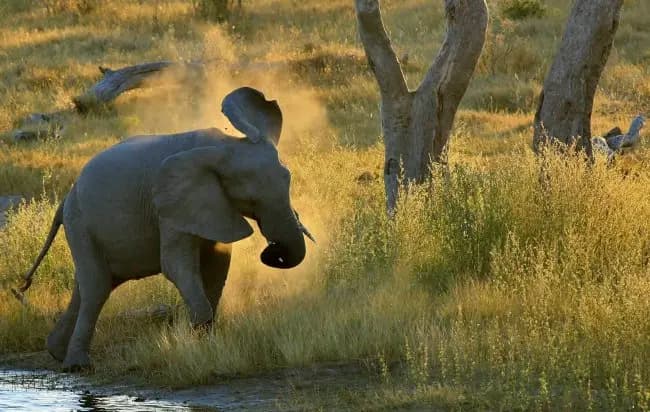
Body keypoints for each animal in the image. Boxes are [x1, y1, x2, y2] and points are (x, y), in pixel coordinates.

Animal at [12, 87, 314, 371]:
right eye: (251, 199)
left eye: (288, 181)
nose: (271, 249)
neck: (225, 145)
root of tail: (66, 198)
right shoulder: (169, 205)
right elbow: (175, 265)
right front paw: (197, 349)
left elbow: (217, 264)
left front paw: (208, 345)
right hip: (80, 222)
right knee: (96, 287)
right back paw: (77, 366)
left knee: (92, 283)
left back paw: (55, 352)